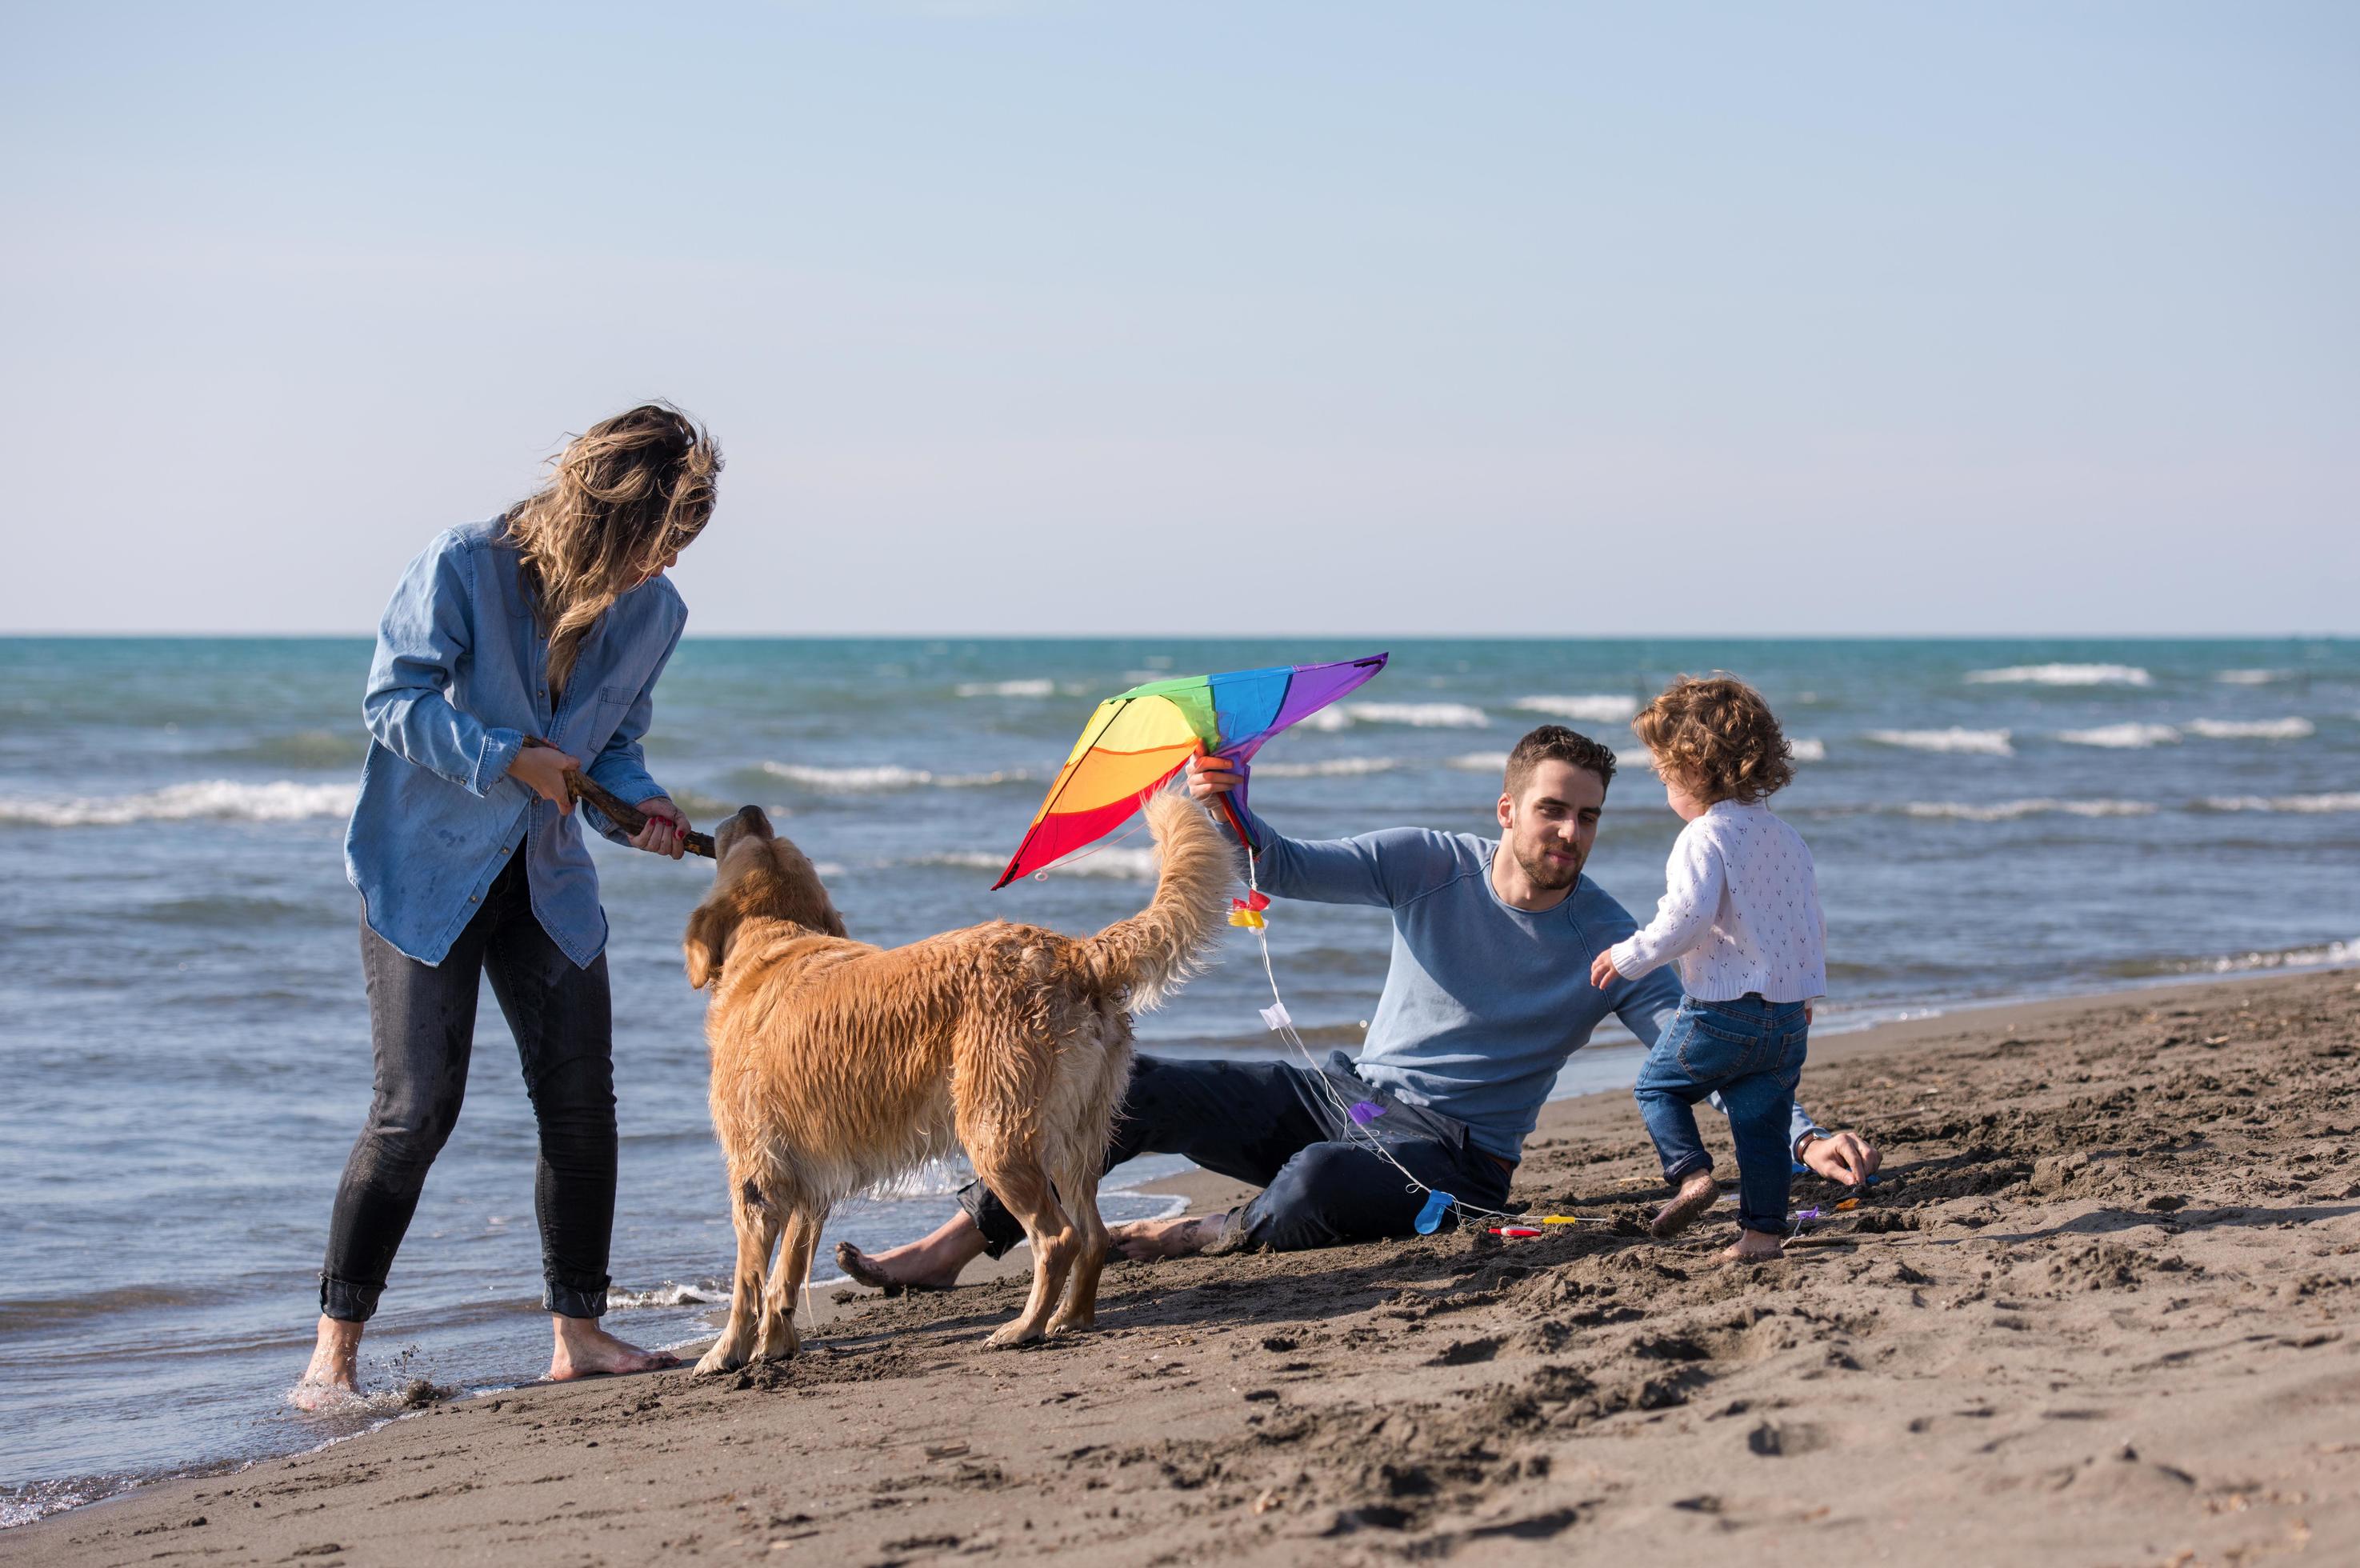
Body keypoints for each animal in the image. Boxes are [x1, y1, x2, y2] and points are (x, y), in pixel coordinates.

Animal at [689, 788, 1227, 1370]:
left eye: (747, 839)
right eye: (766, 836)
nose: (751, 809)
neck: (776, 942)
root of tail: (1075, 953)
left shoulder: (754, 1176)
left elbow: (747, 1280)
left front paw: (726, 1352)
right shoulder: (811, 1182)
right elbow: (785, 1273)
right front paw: (776, 1345)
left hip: (996, 1136)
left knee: (1058, 1238)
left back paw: (1024, 1328)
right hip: (1076, 1141)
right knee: (1094, 1235)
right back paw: (1070, 1318)